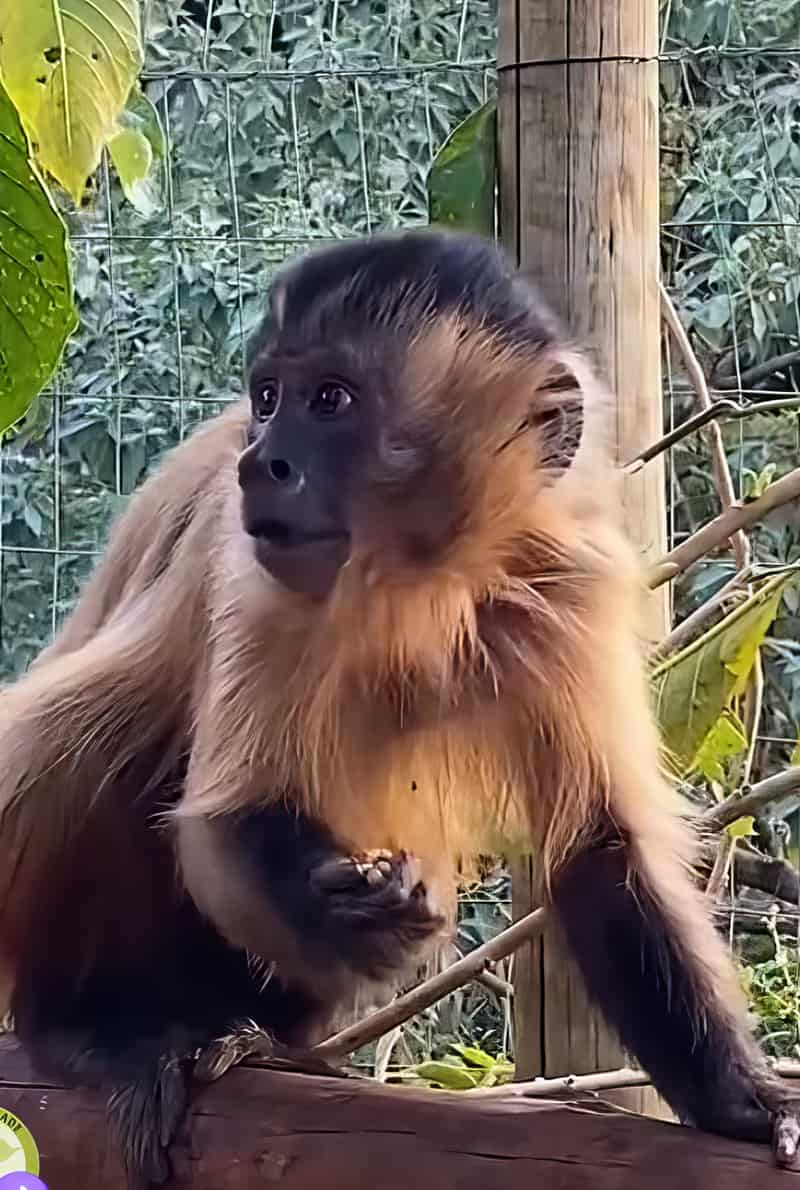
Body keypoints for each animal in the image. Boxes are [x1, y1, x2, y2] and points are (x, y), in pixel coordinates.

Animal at [1, 229, 800, 1186]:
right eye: (268, 399)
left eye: (330, 401)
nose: (259, 461)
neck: (422, 578)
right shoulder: (255, 562)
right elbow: (222, 824)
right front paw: (354, 915)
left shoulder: (572, 577)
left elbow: (601, 849)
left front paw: (740, 1104)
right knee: (94, 721)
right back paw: (80, 1027)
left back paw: (252, 1036)